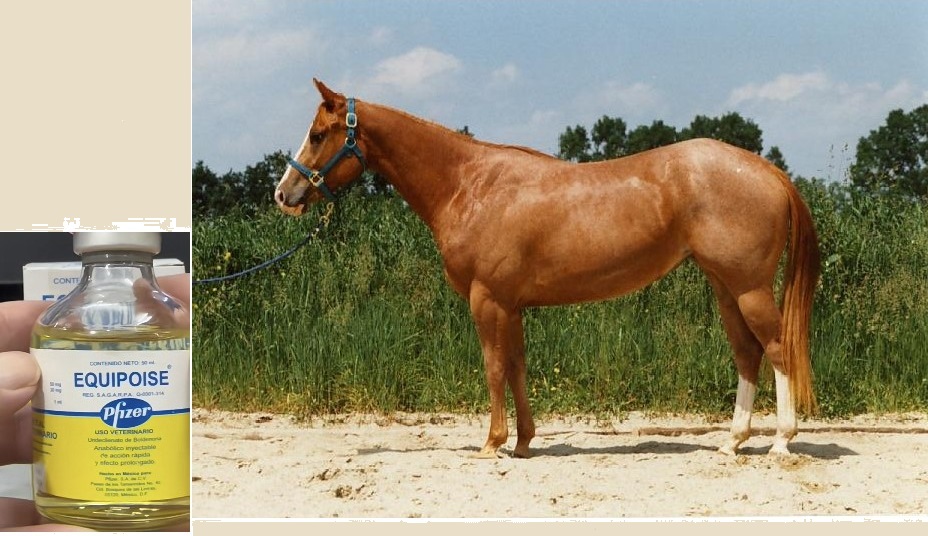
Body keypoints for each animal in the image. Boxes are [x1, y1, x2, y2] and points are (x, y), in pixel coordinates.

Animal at [275, 79, 821, 458]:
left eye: (318, 134)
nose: (284, 193)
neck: (469, 184)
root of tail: (768, 171)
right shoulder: (511, 304)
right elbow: (517, 365)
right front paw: (522, 442)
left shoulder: (487, 299)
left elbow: (494, 366)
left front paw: (491, 443)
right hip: (726, 287)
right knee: (747, 354)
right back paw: (732, 441)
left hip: (750, 288)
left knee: (777, 349)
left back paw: (781, 442)